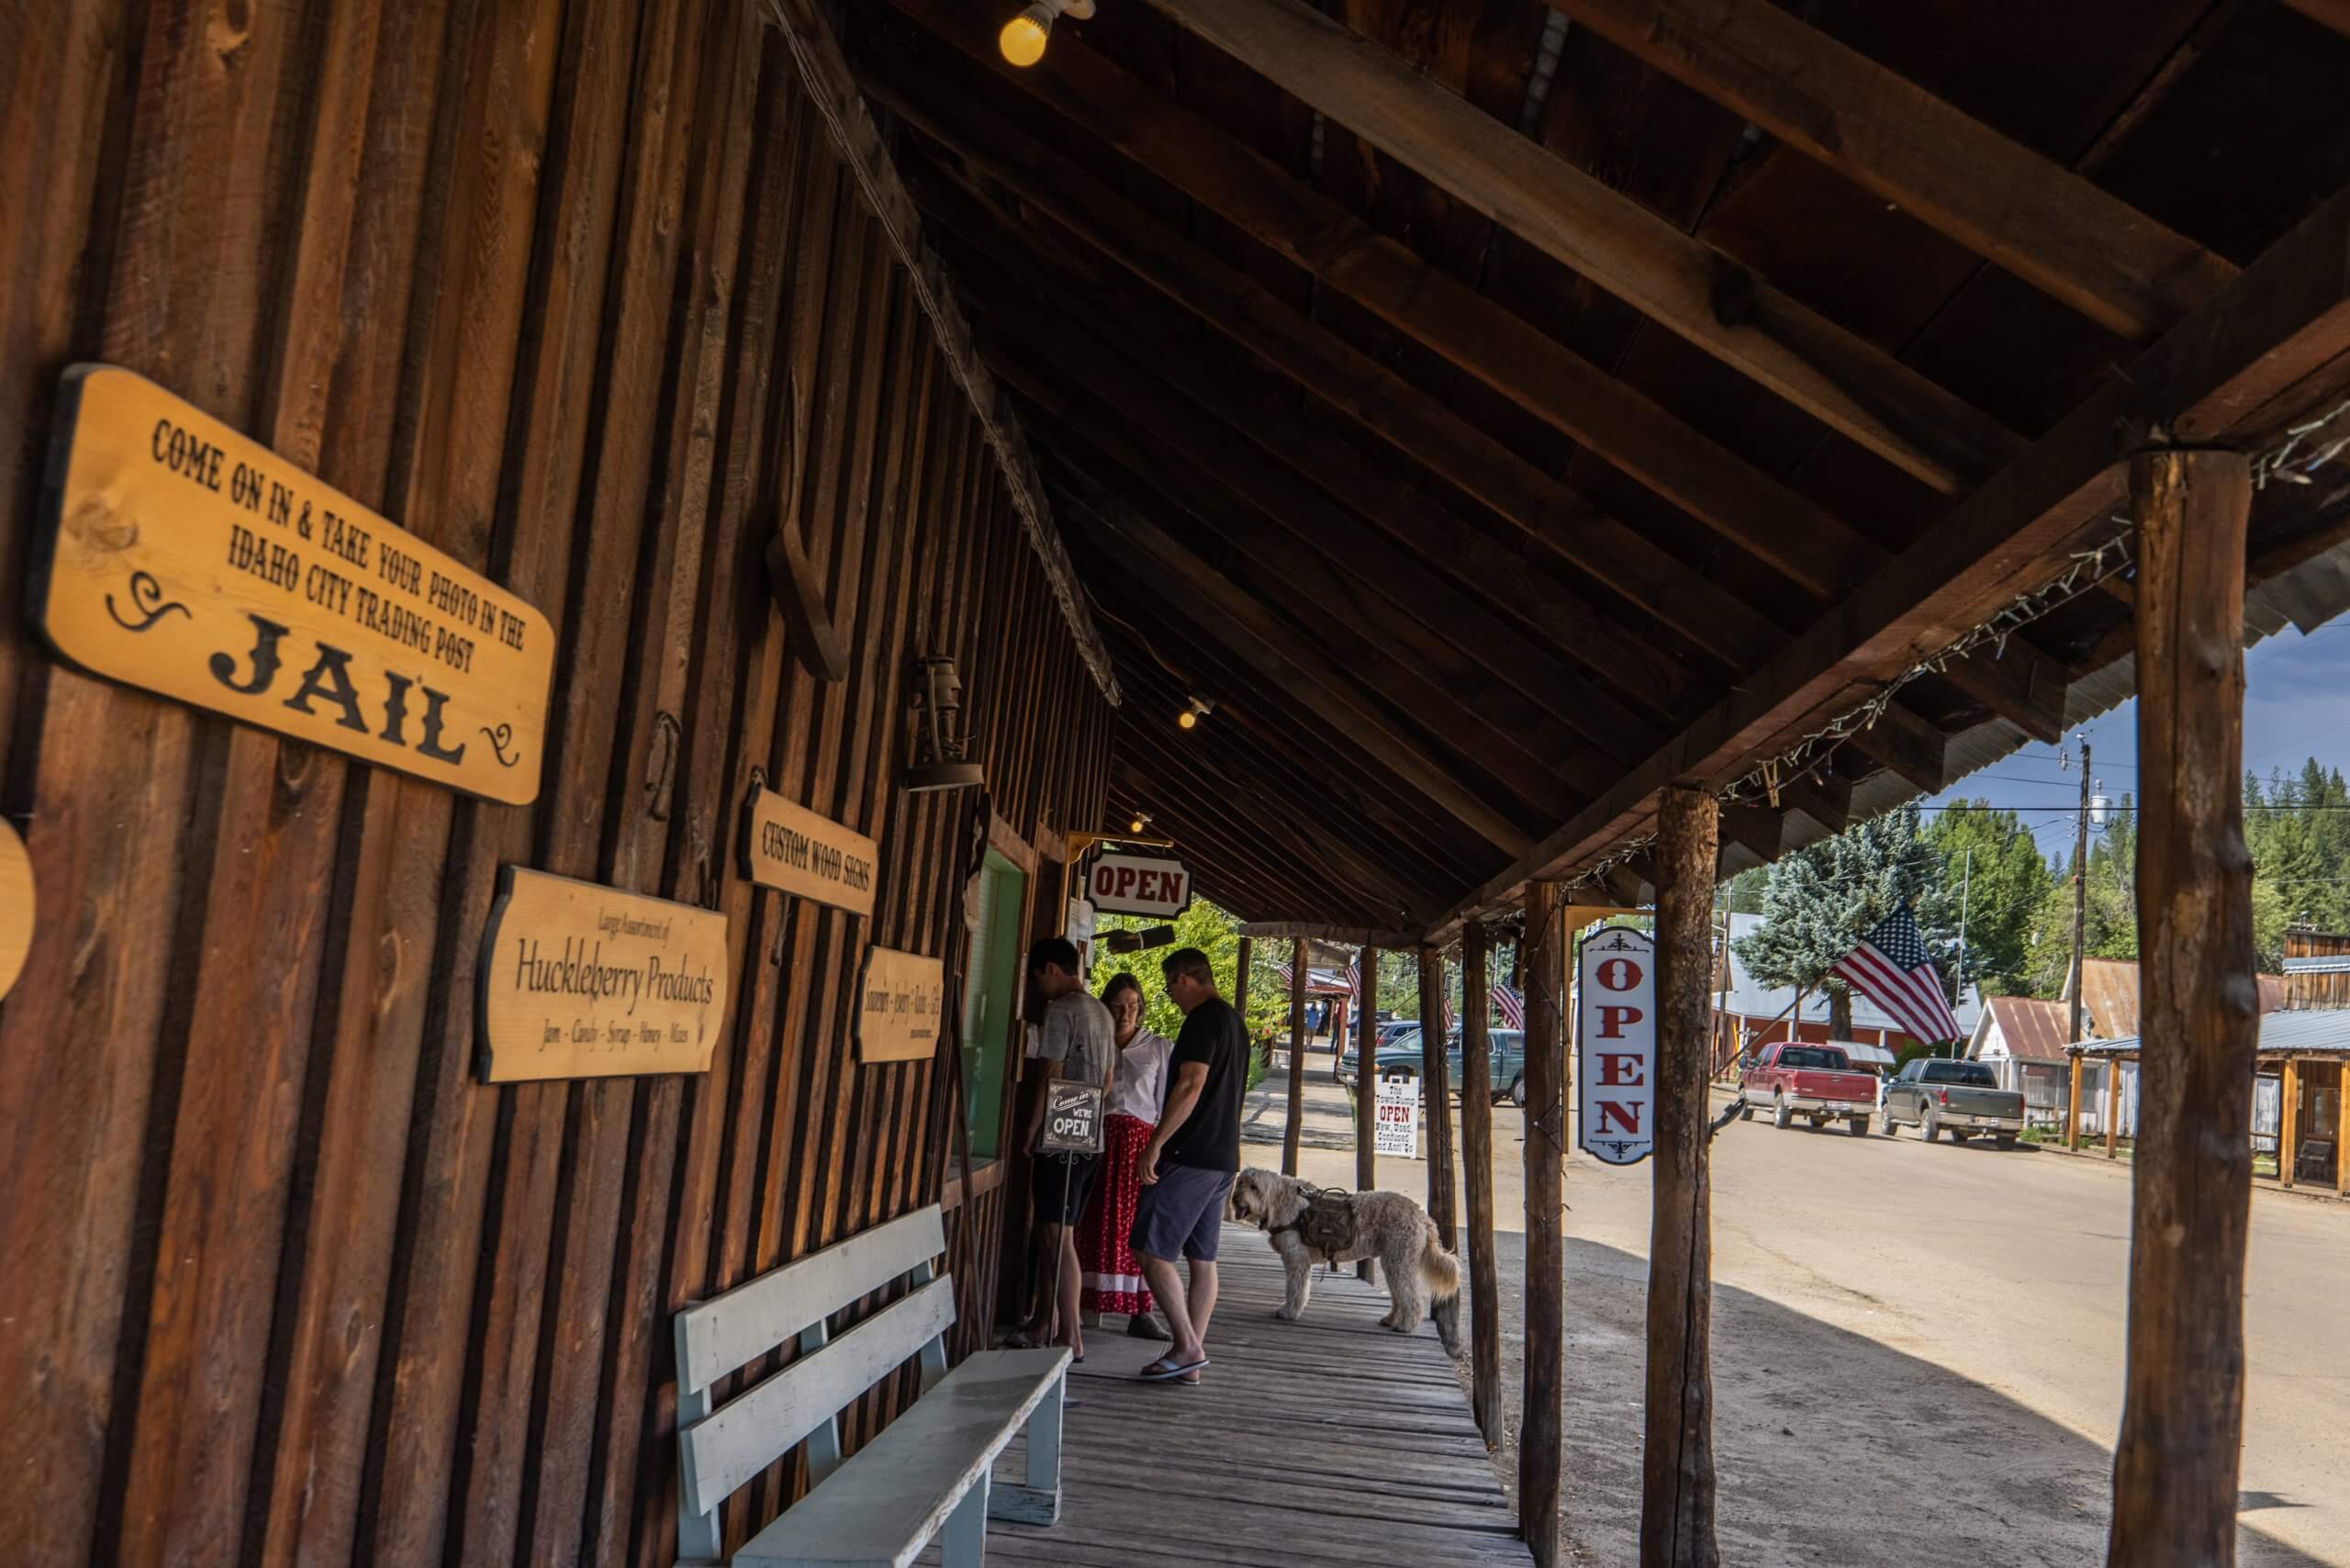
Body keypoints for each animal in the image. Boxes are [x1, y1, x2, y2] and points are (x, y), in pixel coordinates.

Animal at [1222, 1166, 1457, 1335]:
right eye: (1240, 1182)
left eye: (1255, 1187)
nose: (1235, 1199)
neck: (1282, 1202)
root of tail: (1421, 1215)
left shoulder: (1297, 1260)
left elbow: (1296, 1290)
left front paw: (1289, 1312)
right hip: (1394, 1262)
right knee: (1400, 1296)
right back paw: (1391, 1319)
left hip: (1400, 1260)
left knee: (1411, 1299)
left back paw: (1406, 1325)